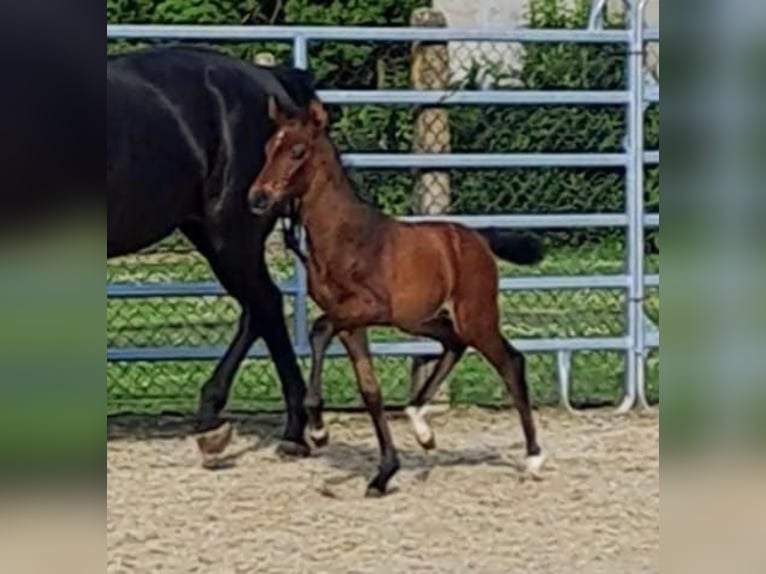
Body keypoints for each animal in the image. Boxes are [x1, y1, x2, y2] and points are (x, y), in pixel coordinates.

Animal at [250, 98, 544, 496]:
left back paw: (533, 459)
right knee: (454, 345)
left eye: (297, 151)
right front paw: (384, 472)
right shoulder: (352, 323)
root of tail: (478, 239)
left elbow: (319, 330)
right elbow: (370, 391)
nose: (257, 197)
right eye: (268, 149)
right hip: (423, 320)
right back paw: (421, 427)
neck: (345, 239)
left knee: (510, 363)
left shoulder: (367, 309)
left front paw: (319, 429)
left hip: (476, 317)